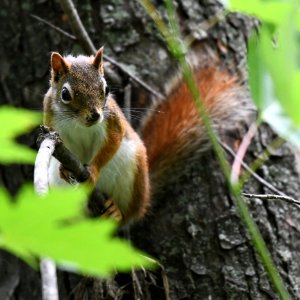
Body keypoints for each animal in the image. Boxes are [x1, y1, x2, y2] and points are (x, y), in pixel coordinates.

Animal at [44, 46, 255, 223]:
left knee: (128, 214)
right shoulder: (51, 121)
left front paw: (94, 171)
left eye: (106, 89)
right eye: (65, 94)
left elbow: (113, 142)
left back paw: (116, 212)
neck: (79, 124)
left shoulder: (112, 122)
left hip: (132, 174)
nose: (94, 115)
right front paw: (64, 169)